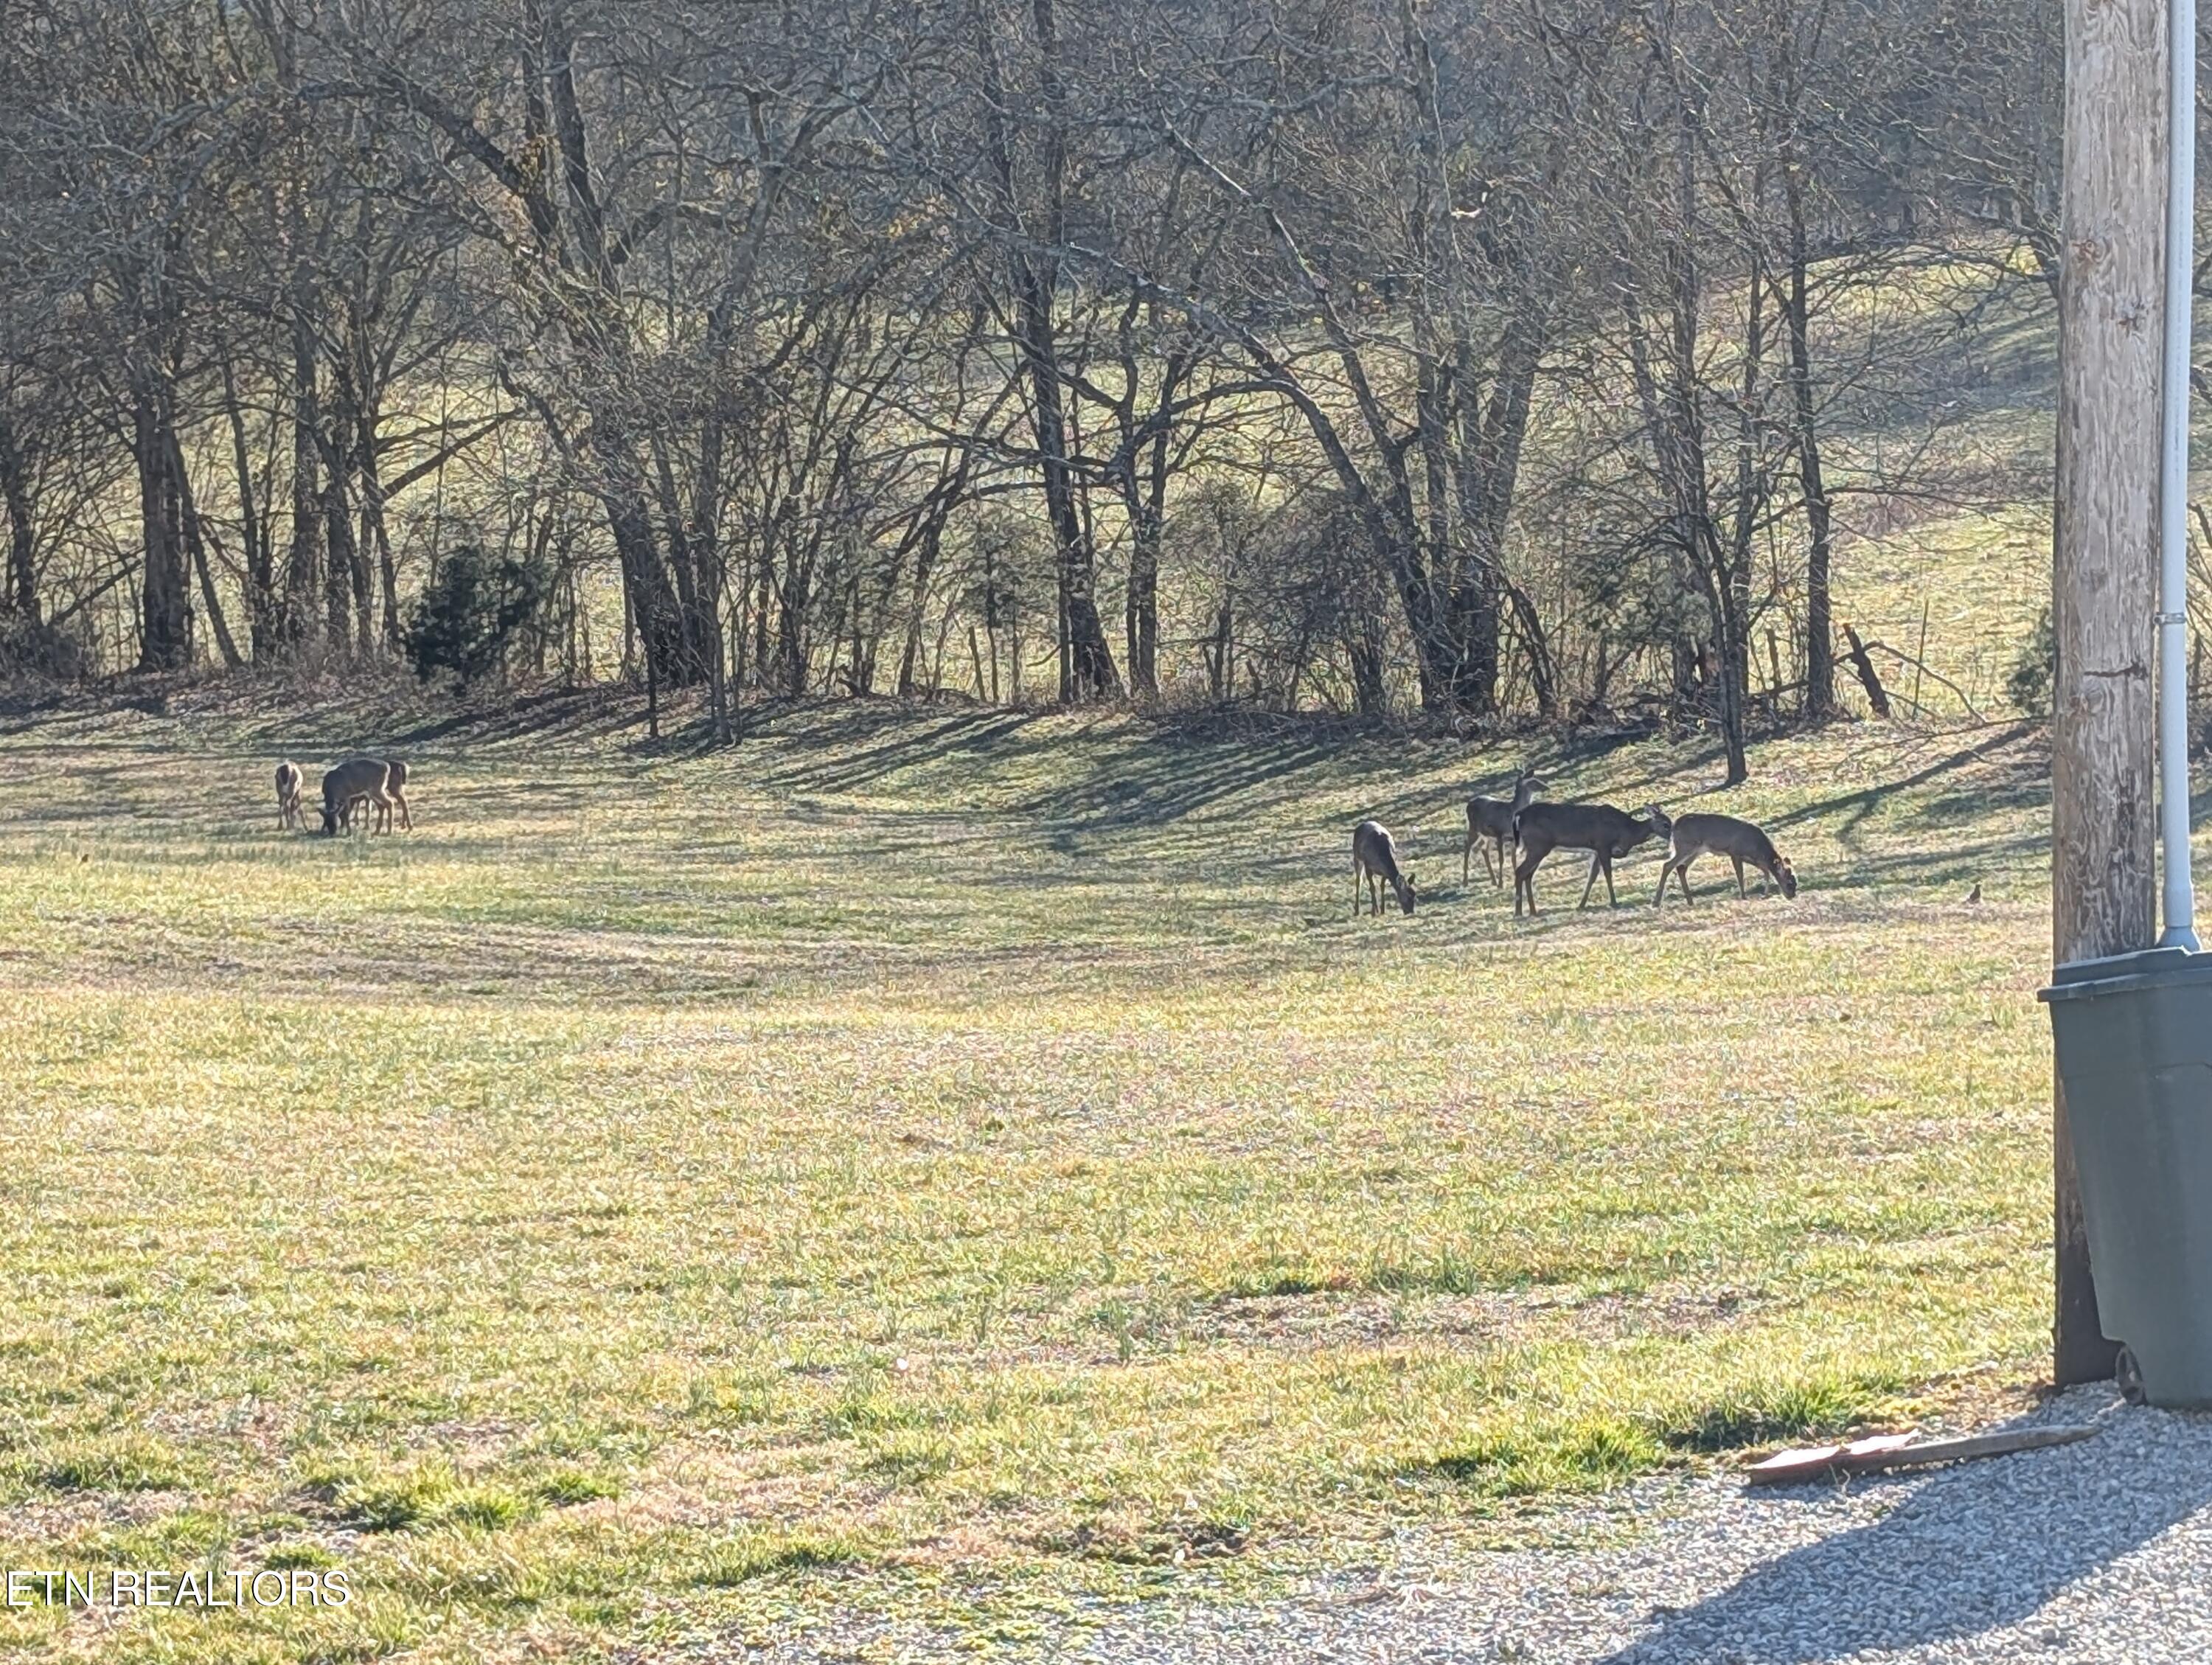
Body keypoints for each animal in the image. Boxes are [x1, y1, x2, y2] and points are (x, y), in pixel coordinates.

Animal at [1352, 820, 1417, 917]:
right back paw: (1357, 910)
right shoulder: (1368, 865)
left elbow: (1382, 886)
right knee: (1358, 881)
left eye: (1414, 895)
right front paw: (1374, 911)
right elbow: (1373, 888)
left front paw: (1382, 910)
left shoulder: (1385, 873)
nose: (1410, 912)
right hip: (1357, 857)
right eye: (1408, 896)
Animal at [1463, 769, 1542, 887]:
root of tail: (1468, 804)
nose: (1546, 786)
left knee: (1483, 850)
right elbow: (1502, 859)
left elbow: (1514, 859)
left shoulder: (1513, 838)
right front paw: (1502, 883)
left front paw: (1514, 881)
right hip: (1474, 828)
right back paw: (1466, 881)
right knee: (1468, 847)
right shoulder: (1499, 833)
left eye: (1536, 779)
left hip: (1487, 836)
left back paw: (1493, 880)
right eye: (1533, 781)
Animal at [1512, 801, 1669, 916]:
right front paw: (1614, 903)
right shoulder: (1603, 845)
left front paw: (1581, 905)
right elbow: (1607, 875)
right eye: (1666, 824)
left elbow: (1591, 877)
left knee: (1528, 875)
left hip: (1538, 848)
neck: (1627, 831)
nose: (1672, 834)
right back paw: (1518, 913)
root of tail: (1519, 815)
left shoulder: (1596, 852)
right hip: (1538, 846)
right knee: (1520, 871)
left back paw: (1533, 911)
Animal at [1652, 812, 1797, 907]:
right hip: (1686, 846)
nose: (1792, 896)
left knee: (1681, 868)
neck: (1759, 847)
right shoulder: (1735, 852)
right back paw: (1656, 902)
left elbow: (1766, 872)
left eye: (1796, 883)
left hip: (1696, 850)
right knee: (1668, 865)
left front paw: (1764, 894)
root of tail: (1674, 826)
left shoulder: (1752, 858)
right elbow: (1740, 876)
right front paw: (1744, 897)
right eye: (1790, 883)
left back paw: (1690, 901)